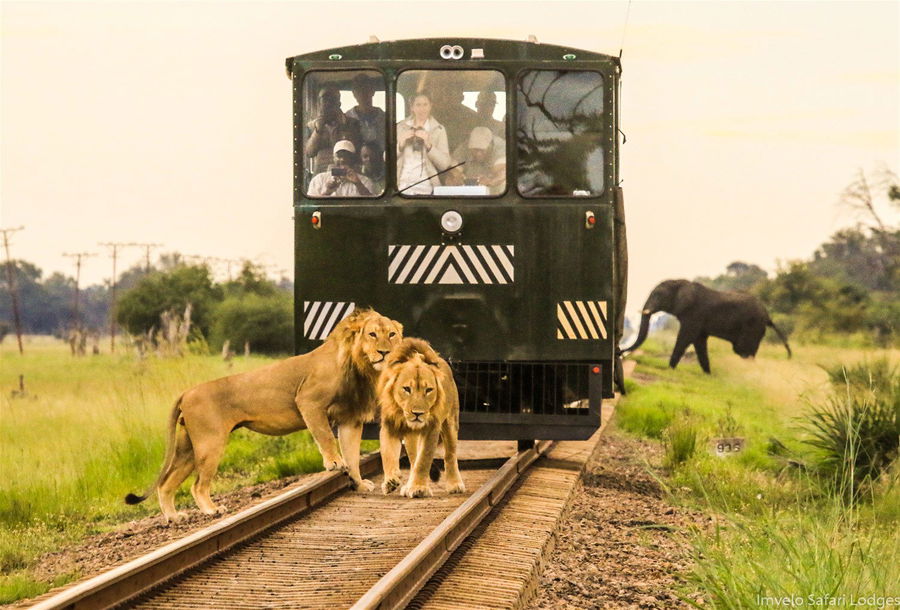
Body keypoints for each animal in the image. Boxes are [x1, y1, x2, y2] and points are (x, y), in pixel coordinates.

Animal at [123, 306, 400, 520]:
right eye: (372, 334)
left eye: (392, 334)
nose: (385, 352)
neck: (359, 365)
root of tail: (187, 392)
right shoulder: (308, 401)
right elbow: (325, 436)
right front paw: (334, 463)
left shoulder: (349, 419)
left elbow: (353, 456)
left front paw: (360, 483)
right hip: (209, 444)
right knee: (198, 485)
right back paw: (212, 511)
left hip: (189, 447)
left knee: (166, 484)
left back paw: (174, 517)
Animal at [378, 334, 464, 496]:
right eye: (406, 389)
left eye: (428, 390)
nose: (418, 413)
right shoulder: (389, 425)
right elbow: (388, 454)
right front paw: (391, 481)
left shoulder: (432, 427)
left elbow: (423, 459)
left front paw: (419, 488)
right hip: (411, 438)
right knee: (413, 458)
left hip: (451, 423)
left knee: (450, 454)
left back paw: (455, 485)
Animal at [624, 280, 792, 372]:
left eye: (658, 295)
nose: (621, 352)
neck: (682, 283)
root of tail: (768, 316)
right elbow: (699, 343)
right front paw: (708, 374)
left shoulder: (694, 314)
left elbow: (685, 338)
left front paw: (669, 369)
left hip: (752, 327)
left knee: (743, 351)